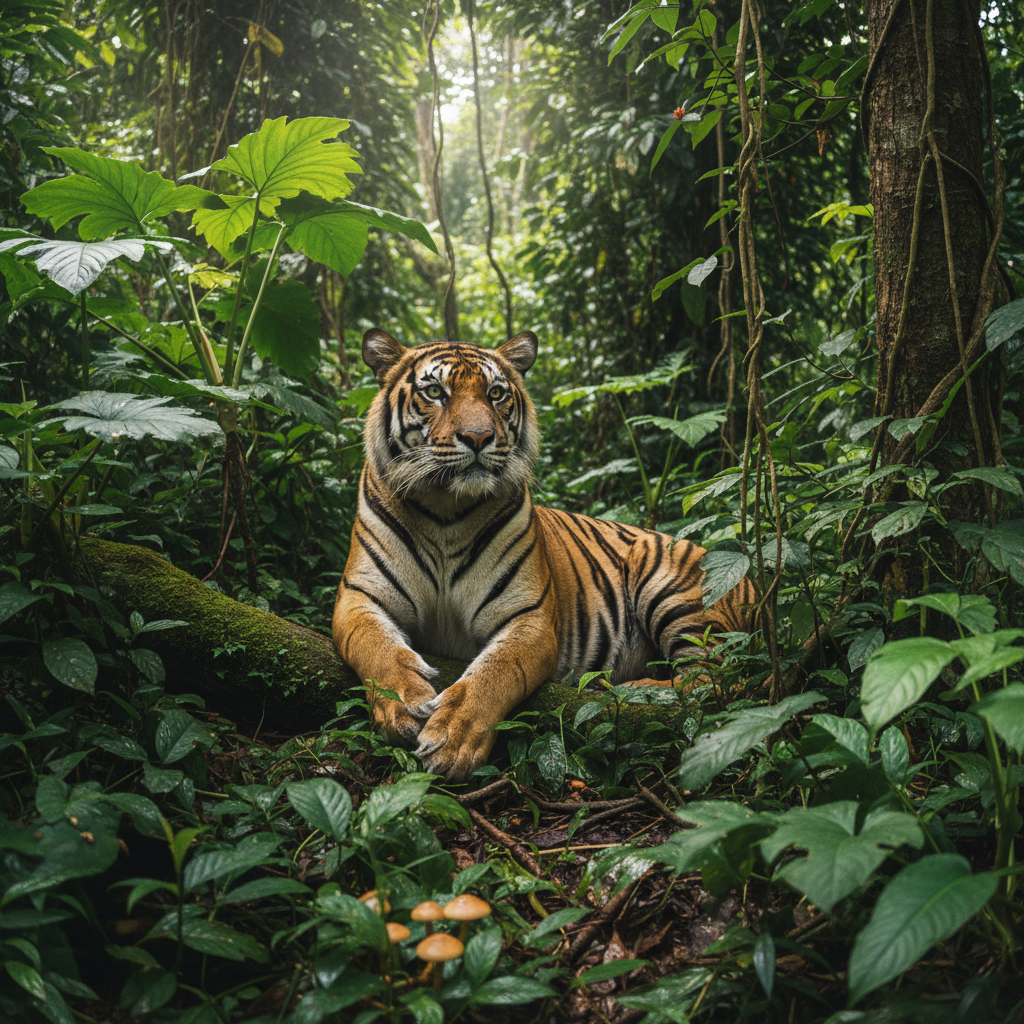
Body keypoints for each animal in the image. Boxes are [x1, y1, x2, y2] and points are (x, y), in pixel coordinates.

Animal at [332, 328, 755, 781]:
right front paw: (403, 705)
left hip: (673, 587)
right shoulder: (358, 598)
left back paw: (636, 690)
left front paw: (452, 738)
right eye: (434, 392)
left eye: (496, 393)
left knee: (720, 678)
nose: (479, 438)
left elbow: (495, 672)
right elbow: (376, 647)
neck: (445, 509)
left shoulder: (529, 618)